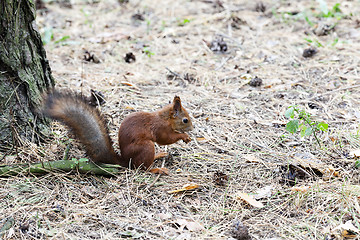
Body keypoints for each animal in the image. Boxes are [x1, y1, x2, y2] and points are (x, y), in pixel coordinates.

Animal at [42, 89, 193, 172]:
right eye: (185, 120)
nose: (192, 128)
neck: (166, 118)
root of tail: (126, 161)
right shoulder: (160, 127)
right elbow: (165, 139)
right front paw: (184, 136)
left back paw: (158, 155)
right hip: (146, 147)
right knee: (142, 168)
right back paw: (157, 169)